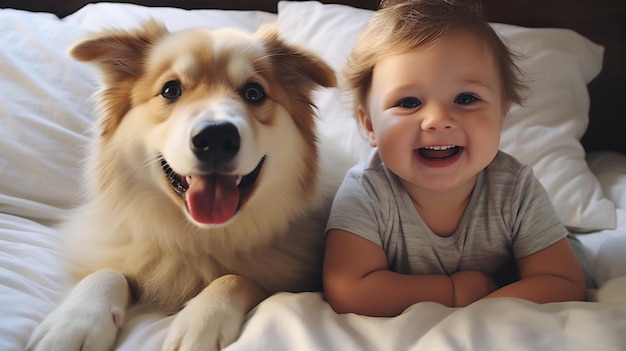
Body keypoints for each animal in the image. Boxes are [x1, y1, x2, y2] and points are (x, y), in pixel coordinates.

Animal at [26, 20, 348, 350]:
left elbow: (235, 278)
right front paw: (76, 323)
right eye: (170, 90)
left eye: (254, 93)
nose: (216, 137)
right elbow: (107, 271)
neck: (197, 239)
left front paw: (202, 321)